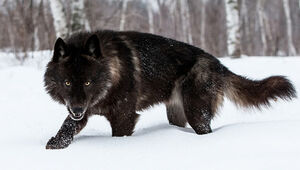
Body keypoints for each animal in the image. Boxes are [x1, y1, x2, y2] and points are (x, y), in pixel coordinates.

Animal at [43, 30, 296, 149]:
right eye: (67, 83)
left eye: (88, 82)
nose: (77, 109)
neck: (111, 70)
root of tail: (218, 64)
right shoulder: (83, 110)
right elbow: (67, 126)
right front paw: (56, 144)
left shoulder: (124, 117)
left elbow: (118, 136)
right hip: (176, 114)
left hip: (197, 114)